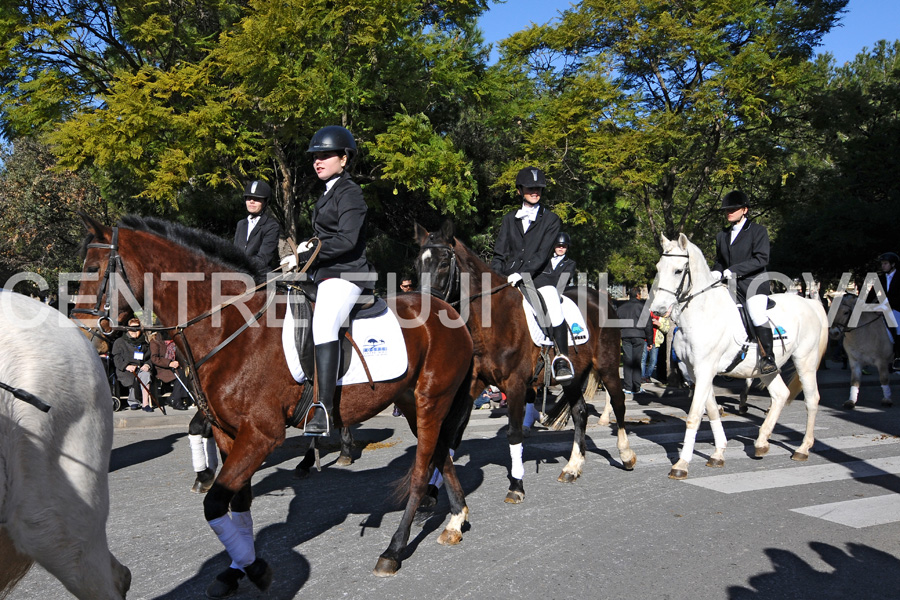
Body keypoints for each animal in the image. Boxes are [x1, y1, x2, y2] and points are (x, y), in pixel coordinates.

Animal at [74, 214, 478, 592]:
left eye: (92, 270)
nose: (85, 338)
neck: (229, 325)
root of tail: (447, 310)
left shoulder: (260, 434)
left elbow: (215, 503)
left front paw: (253, 568)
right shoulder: (228, 433)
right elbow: (238, 502)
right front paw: (236, 568)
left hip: (431, 401)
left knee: (422, 469)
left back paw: (393, 550)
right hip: (412, 403)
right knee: (440, 454)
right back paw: (455, 521)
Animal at [414, 219, 632, 502]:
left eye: (442, 263)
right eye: (417, 264)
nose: (424, 310)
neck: (492, 318)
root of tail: (602, 298)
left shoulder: (516, 384)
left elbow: (514, 433)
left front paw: (516, 485)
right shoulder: (474, 384)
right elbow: (453, 433)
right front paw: (431, 491)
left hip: (607, 366)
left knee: (618, 401)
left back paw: (626, 455)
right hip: (573, 377)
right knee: (579, 412)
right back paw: (572, 467)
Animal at [648, 233, 828, 478]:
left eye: (678, 270)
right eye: (658, 267)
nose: (657, 310)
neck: (702, 312)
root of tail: (809, 303)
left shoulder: (705, 369)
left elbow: (694, 415)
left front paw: (681, 464)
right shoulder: (696, 372)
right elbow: (711, 410)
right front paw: (718, 453)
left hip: (805, 361)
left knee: (811, 399)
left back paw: (803, 448)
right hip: (766, 368)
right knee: (780, 394)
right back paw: (761, 443)